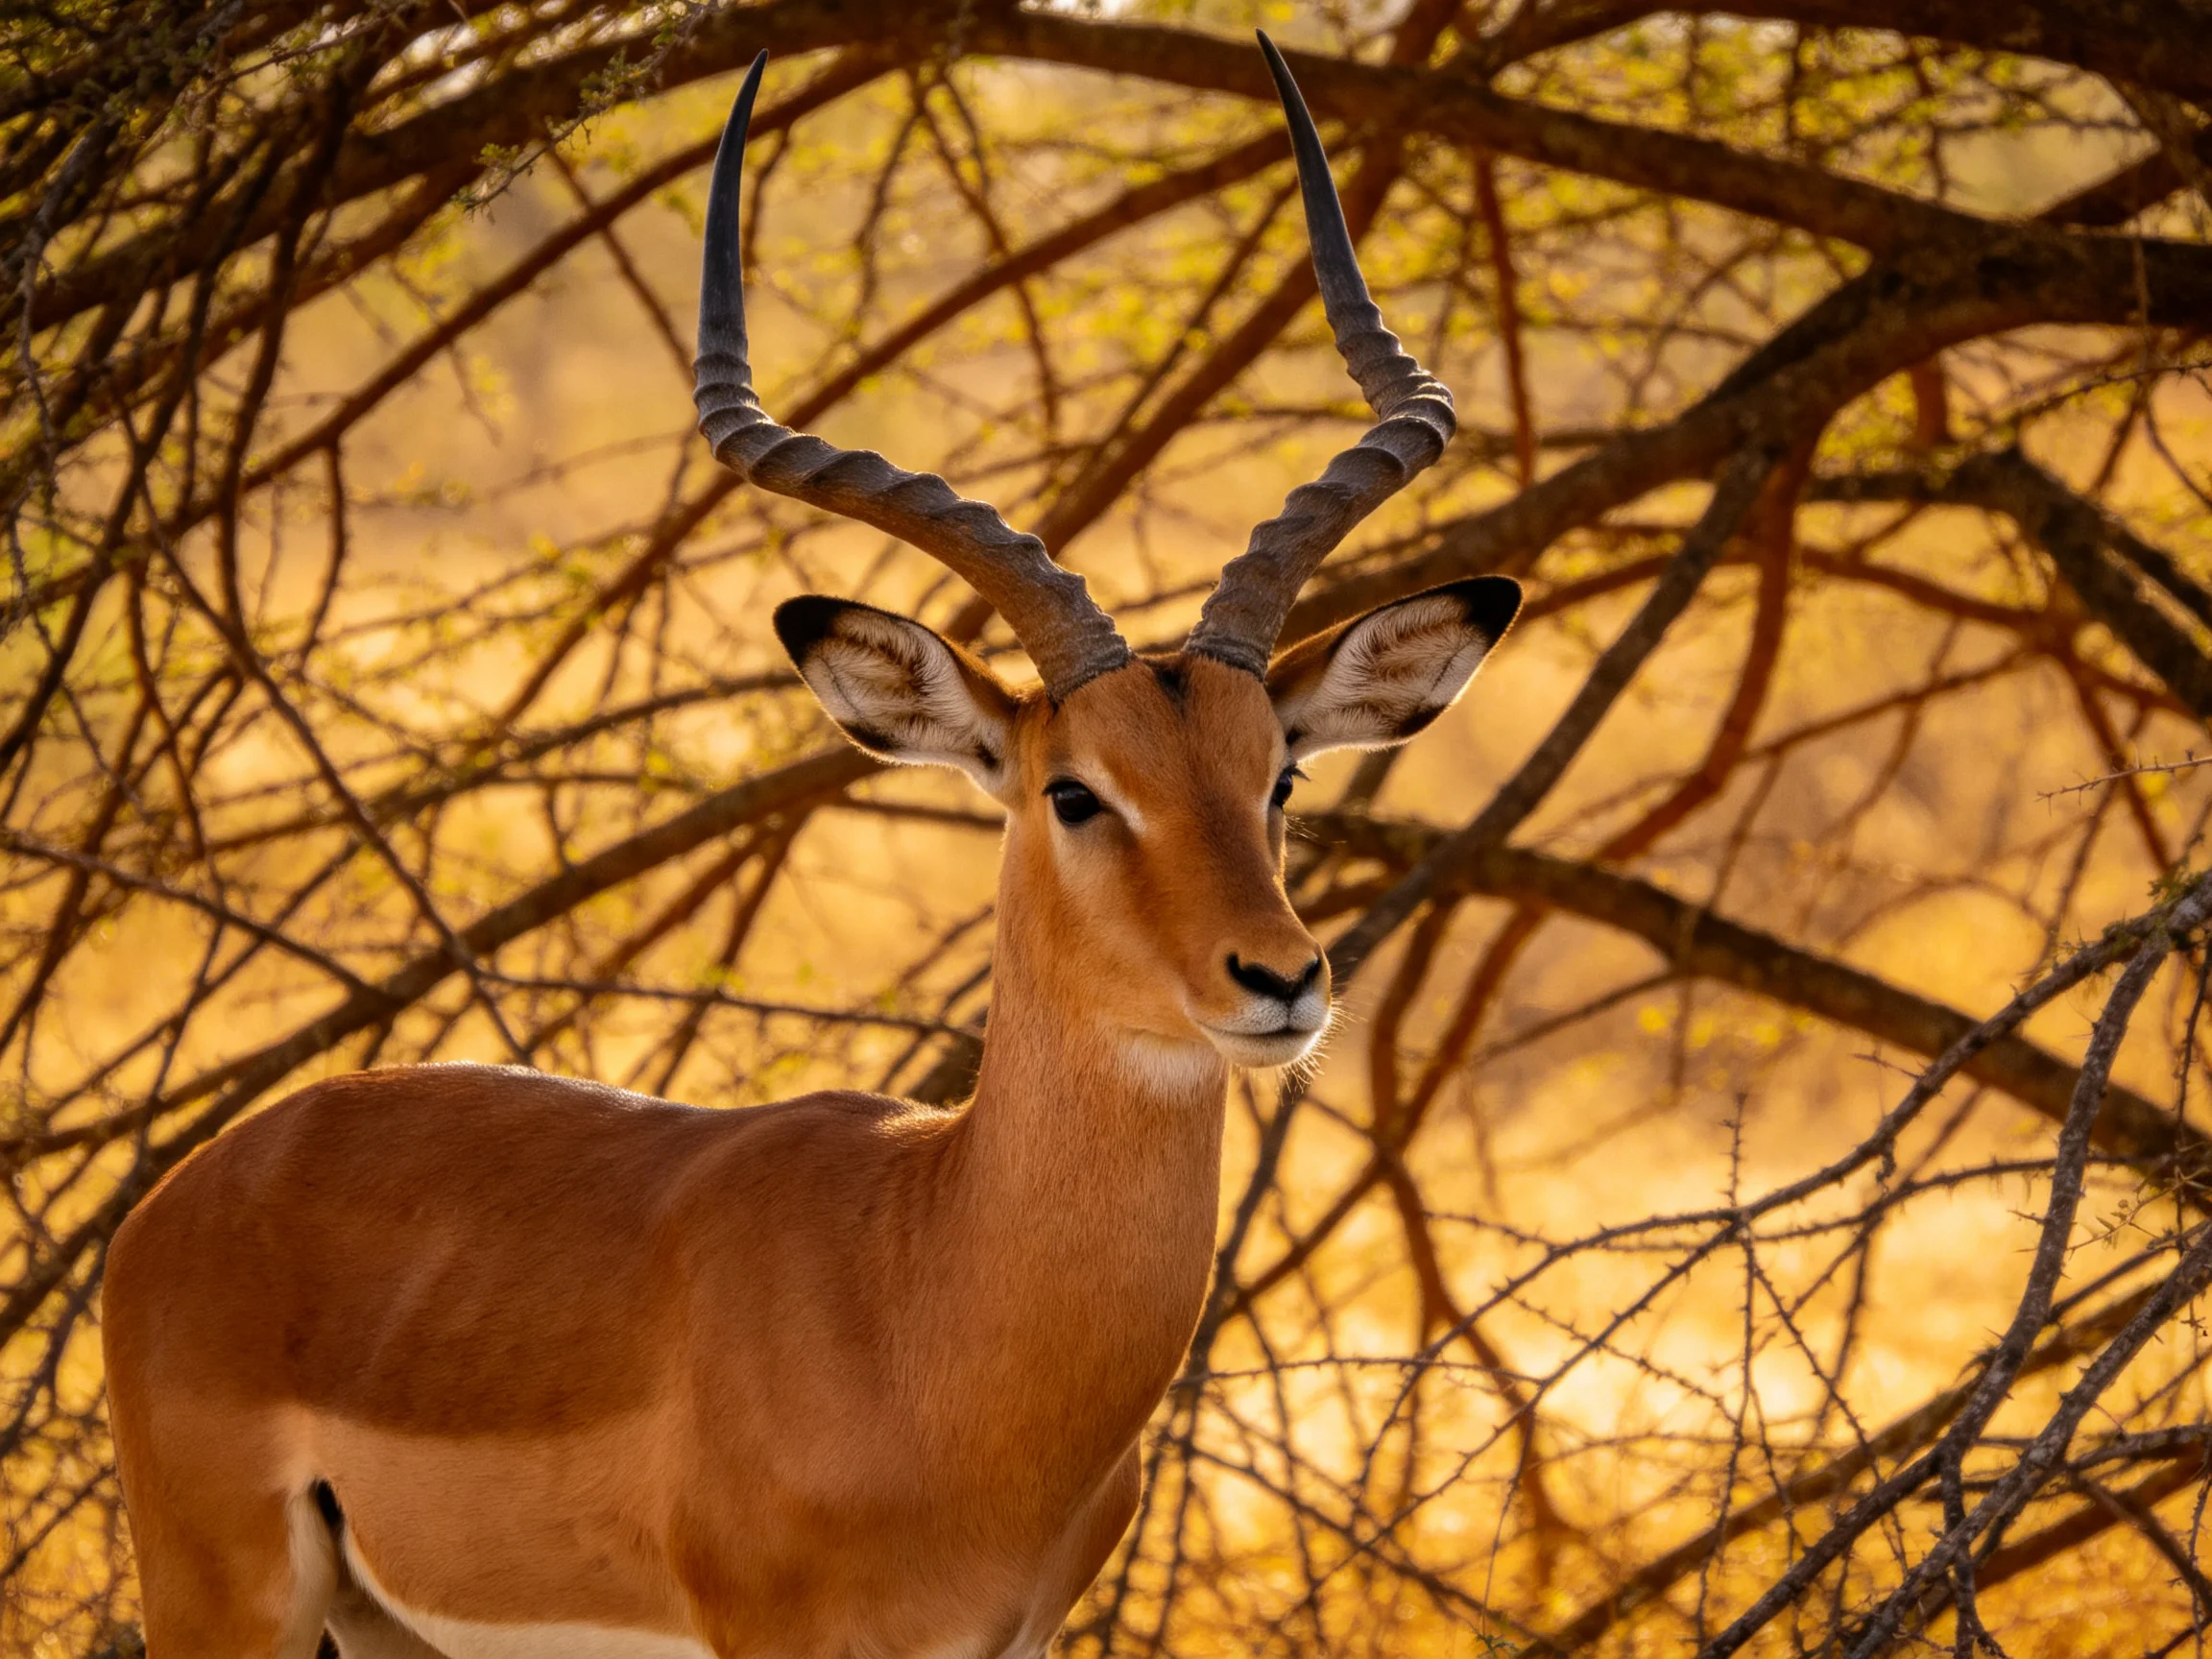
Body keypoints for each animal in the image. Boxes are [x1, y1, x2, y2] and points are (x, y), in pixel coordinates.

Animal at [102, 36, 1520, 1659]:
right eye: (1074, 792)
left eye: (1277, 775)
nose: (1280, 979)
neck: (931, 1298)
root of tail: (192, 1188)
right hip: (224, 1600)